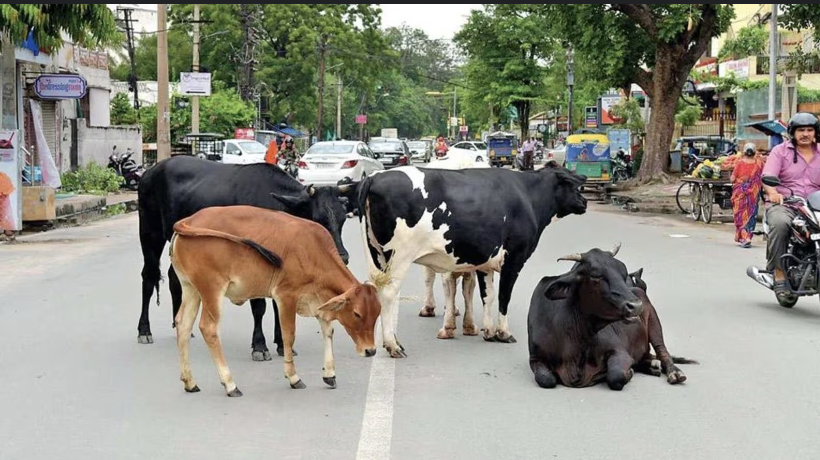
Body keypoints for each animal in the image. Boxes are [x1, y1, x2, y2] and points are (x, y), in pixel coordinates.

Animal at [137, 155, 356, 360]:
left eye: (343, 219)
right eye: (318, 220)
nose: (342, 256)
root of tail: (152, 170)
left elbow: (277, 304)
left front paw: (282, 344)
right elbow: (259, 306)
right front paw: (260, 346)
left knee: (174, 278)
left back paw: (181, 326)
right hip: (150, 233)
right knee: (148, 276)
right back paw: (144, 330)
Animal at [170, 205, 381, 396]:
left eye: (377, 313)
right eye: (357, 314)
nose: (371, 351)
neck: (313, 251)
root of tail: (189, 220)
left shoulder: (317, 300)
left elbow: (328, 331)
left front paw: (329, 374)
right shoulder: (285, 296)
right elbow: (289, 335)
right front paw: (293, 377)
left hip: (191, 289)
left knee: (183, 324)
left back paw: (189, 382)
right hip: (211, 289)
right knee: (208, 328)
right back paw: (230, 384)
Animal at [356, 164, 588, 358]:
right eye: (572, 185)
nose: (585, 202)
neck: (528, 195)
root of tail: (375, 177)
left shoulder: (486, 262)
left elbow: (488, 296)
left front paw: (488, 331)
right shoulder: (513, 260)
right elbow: (503, 297)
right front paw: (503, 333)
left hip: (378, 256)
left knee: (381, 291)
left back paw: (395, 342)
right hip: (399, 256)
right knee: (389, 294)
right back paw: (392, 345)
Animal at [527, 243, 697, 390]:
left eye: (623, 272)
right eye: (595, 276)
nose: (636, 305)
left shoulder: (620, 352)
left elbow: (615, 376)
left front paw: (628, 373)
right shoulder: (535, 358)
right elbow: (546, 379)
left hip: (654, 323)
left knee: (662, 351)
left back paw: (674, 372)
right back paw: (652, 366)